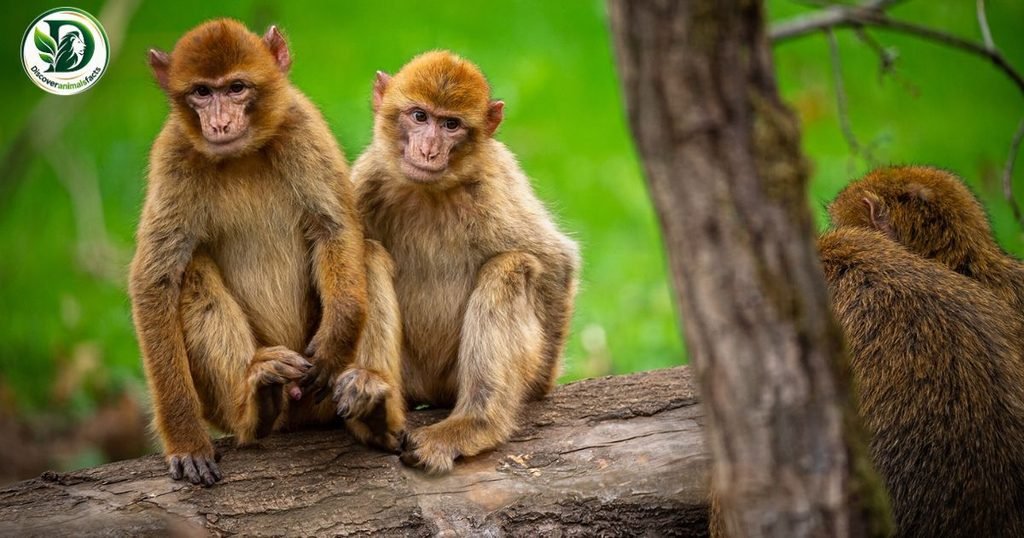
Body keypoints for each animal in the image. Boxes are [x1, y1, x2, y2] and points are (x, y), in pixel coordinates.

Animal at [130, 19, 367, 486]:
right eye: (202, 92)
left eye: (236, 88)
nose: (220, 123)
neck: (241, 156)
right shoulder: (174, 154)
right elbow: (155, 280)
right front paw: (186, 439)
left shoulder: (301, 126)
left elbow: (335, 229)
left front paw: (334, 343)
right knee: (193, 271)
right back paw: (258, 403)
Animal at [338, 51, 580, 474]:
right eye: (419, 116)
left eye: (450, 125)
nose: (428, 150)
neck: (430, 192)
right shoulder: (368, 177)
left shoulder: (495, 182)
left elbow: (555, 263)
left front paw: (539, 386)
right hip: (410, 375)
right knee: (366, 252)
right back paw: (375, 405)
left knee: (510, 266)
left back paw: (475, 422)